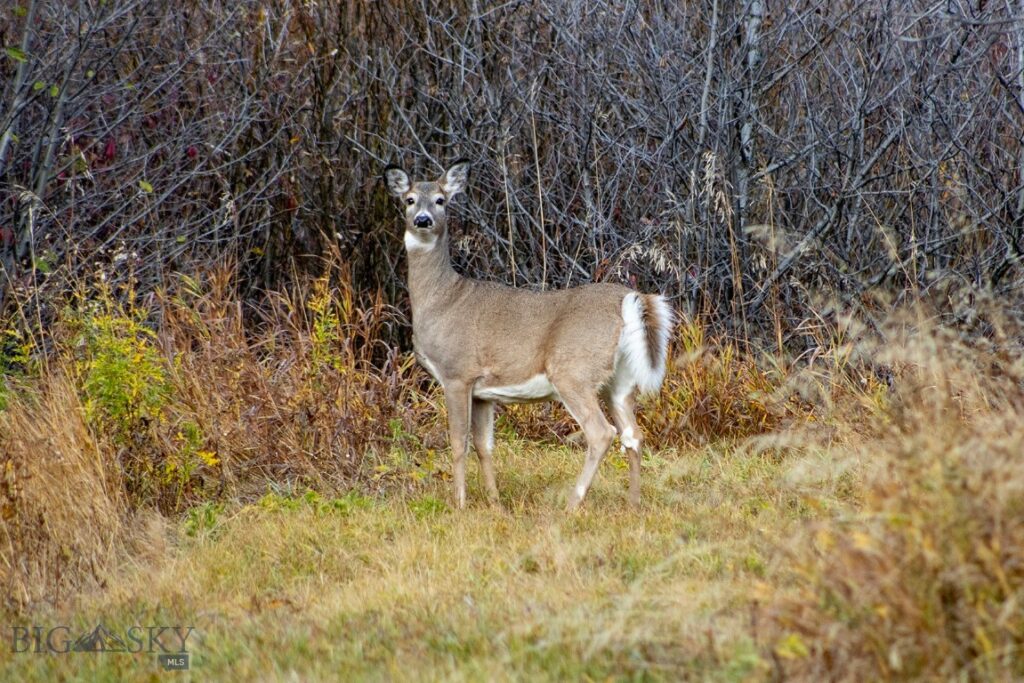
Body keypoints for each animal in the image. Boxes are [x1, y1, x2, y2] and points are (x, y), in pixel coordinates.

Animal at [385, 160, 671, 509]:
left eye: (441, 200)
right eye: (409, 200)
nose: (422, 220)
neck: (441, 299)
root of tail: (630, 299)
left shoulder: (457, 373)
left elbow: (458, 443)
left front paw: (460, 504)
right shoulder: (483, 392)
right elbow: (484, 445)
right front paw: (495, 503)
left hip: (572, 370)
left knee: (601, 433)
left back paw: (572, 504)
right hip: (620, 380)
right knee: (633, 435)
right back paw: (633, 504)